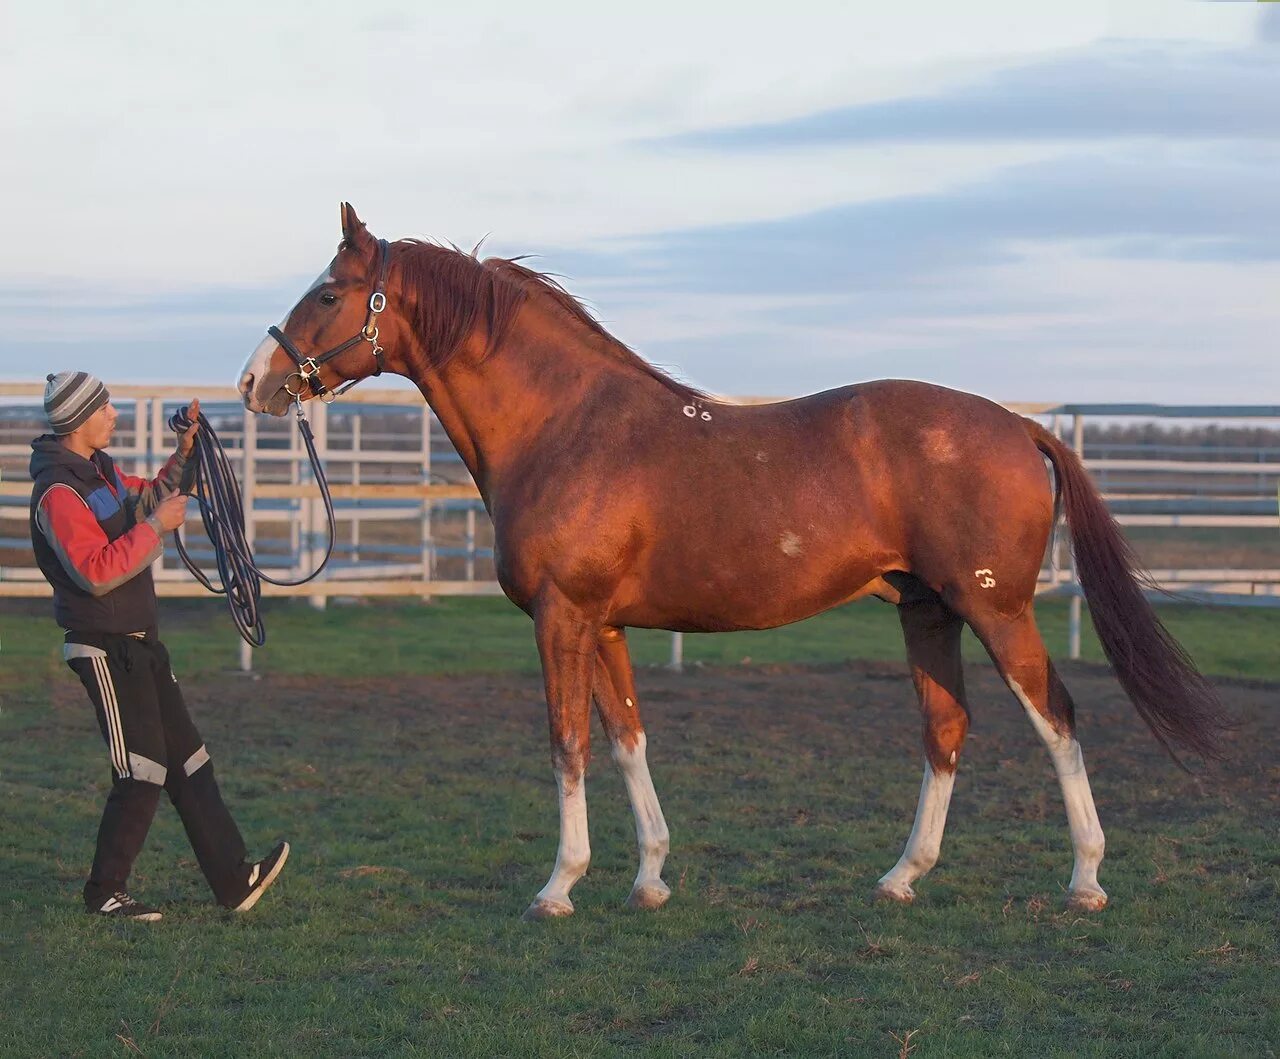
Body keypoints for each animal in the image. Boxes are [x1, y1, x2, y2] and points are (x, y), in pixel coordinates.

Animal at [240, 204, 1228, 921]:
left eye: (327, 293)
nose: (256, 382)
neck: (567, 428)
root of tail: (1021, 427)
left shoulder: (564, 617)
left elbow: (566, 742)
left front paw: (559, 885)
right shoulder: (606, 625)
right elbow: (627, 737)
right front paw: (648, 876)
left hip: (997, 608)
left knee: (1056, 719)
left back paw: (1086, 879)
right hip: (927, 610)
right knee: (945, 730)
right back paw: (903, 875)